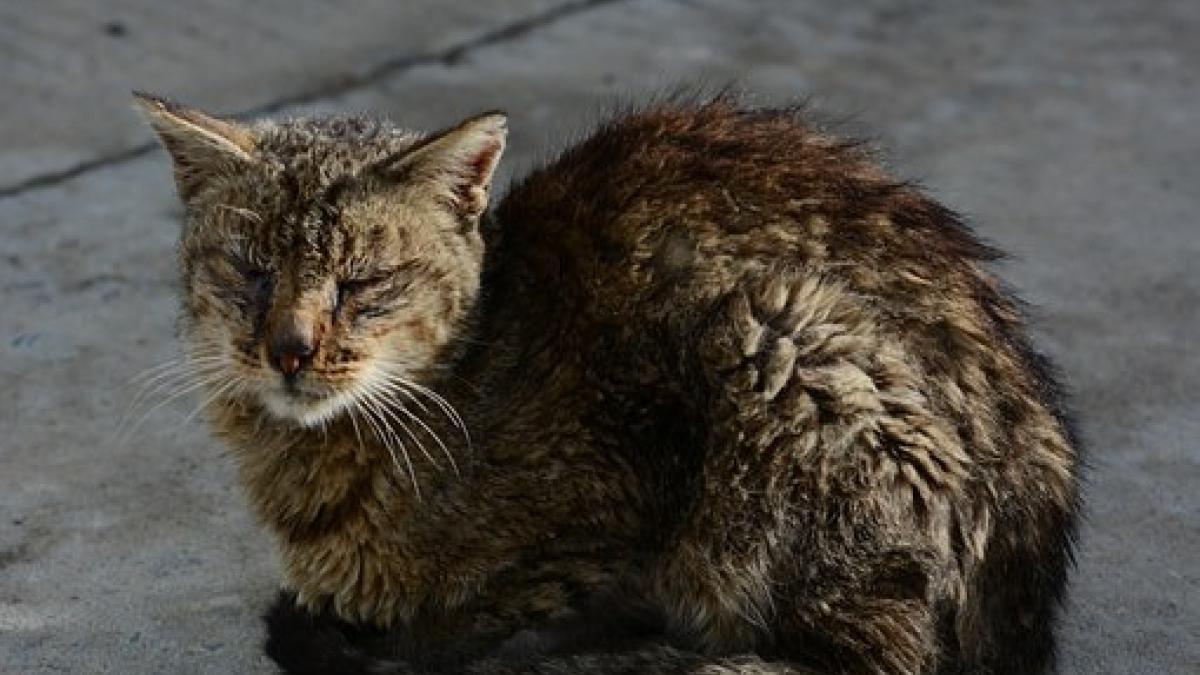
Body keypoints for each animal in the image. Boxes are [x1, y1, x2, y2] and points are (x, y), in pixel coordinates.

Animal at [136, 90, 1084, 672]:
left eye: (362, 283)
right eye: (251, 269)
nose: (289, 348)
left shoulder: (614, 517)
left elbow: (490, 618)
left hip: (785, 335)